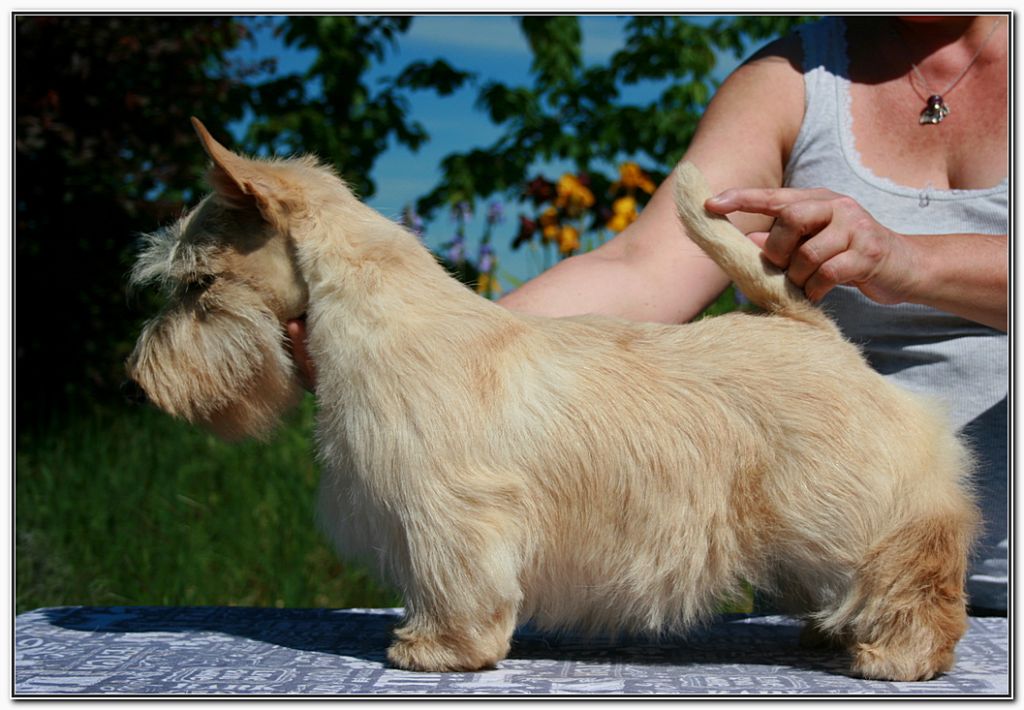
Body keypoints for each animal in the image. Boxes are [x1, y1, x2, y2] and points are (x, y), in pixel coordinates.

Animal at [125, 120, 974, 680]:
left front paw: (436, 649)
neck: (377, 318)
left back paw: (897, 655)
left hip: (860, 514)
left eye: (198, 284)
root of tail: (818, 335)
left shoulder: (446, 512)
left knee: (917, 573)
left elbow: (453, 584)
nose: (138, 379)